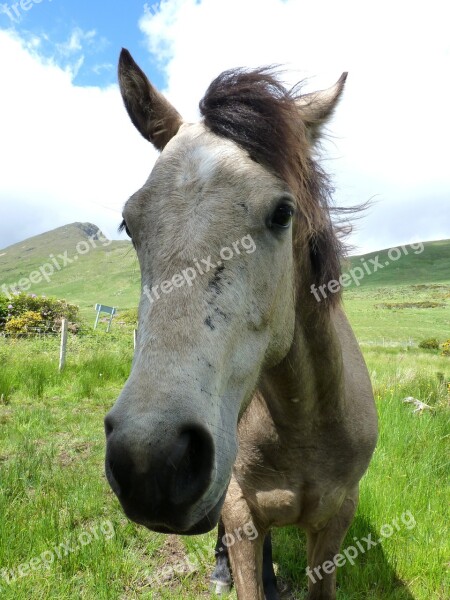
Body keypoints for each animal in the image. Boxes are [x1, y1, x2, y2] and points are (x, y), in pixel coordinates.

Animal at [105, 48, 376, 600]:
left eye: (283, 213)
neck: (306, 424)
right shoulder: (238, 512)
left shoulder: (337, 519)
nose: (149, 461)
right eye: (129, 222)